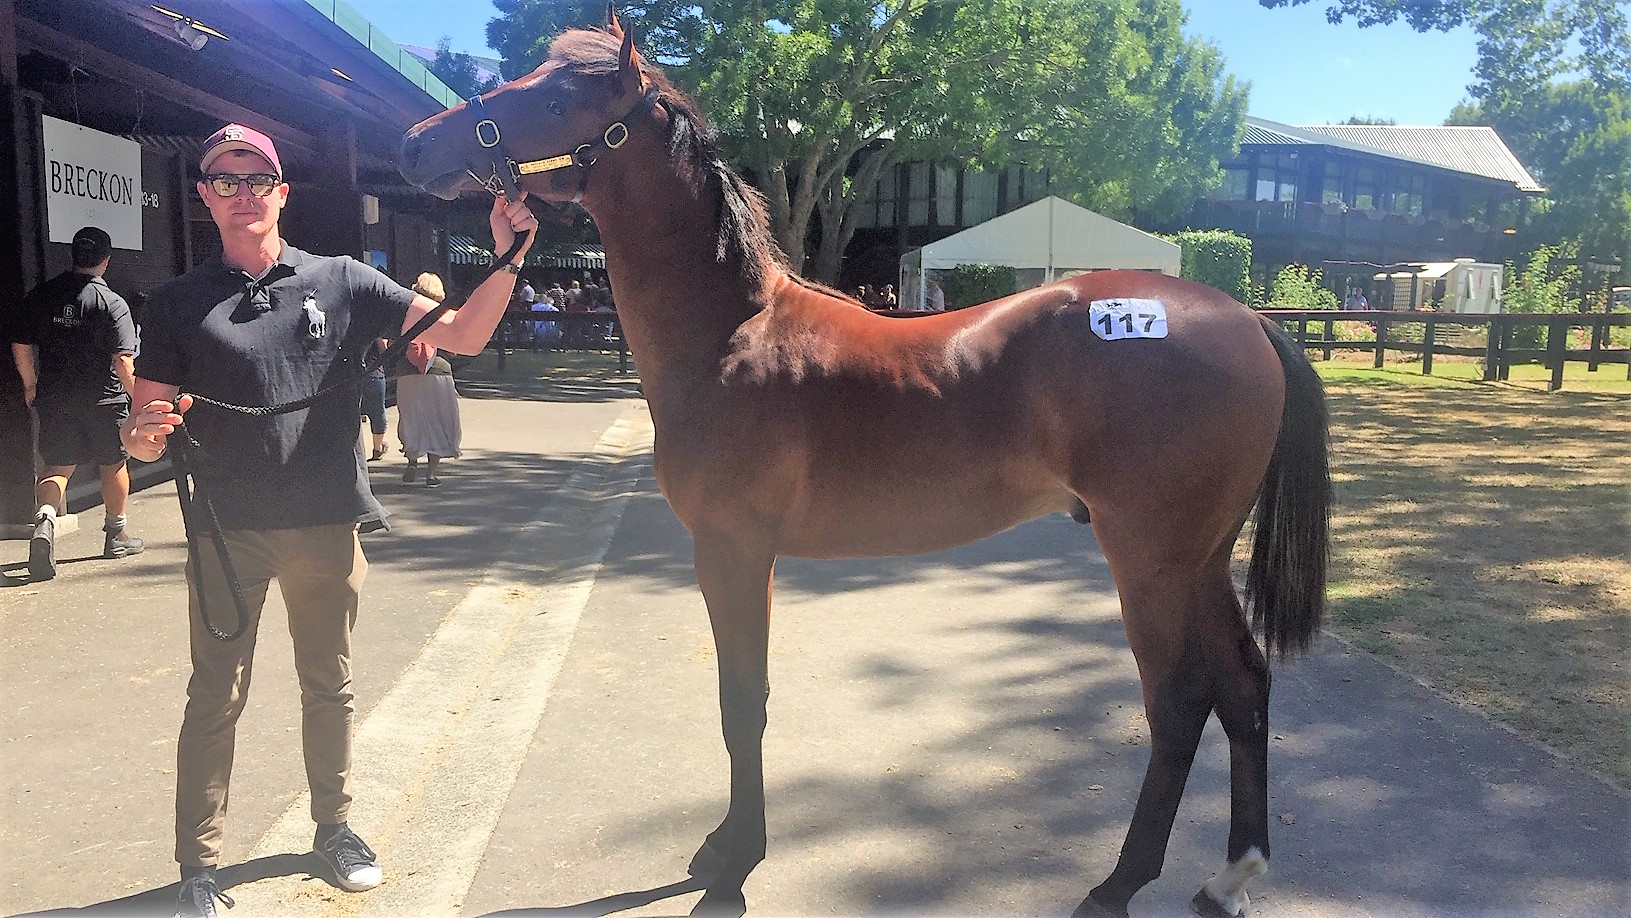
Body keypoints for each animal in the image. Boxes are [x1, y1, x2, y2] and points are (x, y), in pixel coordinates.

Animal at [399, 11, 1329, 917]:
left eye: (558, 99)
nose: (417, 145)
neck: (729, 334)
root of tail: (1244, 319)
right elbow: (743, 698)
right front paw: (725, 845)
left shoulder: (732, 551)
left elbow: (742, 703)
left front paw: (734, 861)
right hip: (1199, 560)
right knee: (1243, 686)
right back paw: (1229, 877)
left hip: (1149, 562)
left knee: (1177, 705)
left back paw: (1115, 885)